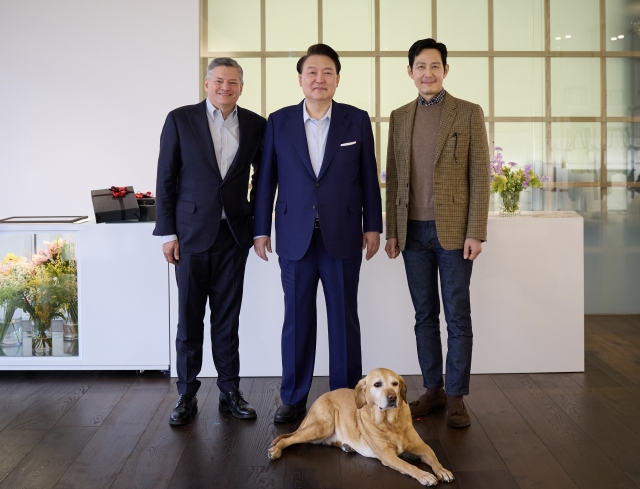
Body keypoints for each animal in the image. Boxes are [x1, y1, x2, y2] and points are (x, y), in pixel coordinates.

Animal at [268, 366, 452, 484]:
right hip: (321, 427)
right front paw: (424, 475)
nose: (393, 397)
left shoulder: (423, 448)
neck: (390, 423)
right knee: (288, 439)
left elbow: (434, 458)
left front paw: (442, 470)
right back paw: (276, 450)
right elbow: (409, 466)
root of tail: (320, 398)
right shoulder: (388, 456)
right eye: (377, 384)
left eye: (395, 384)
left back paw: (347, 446)